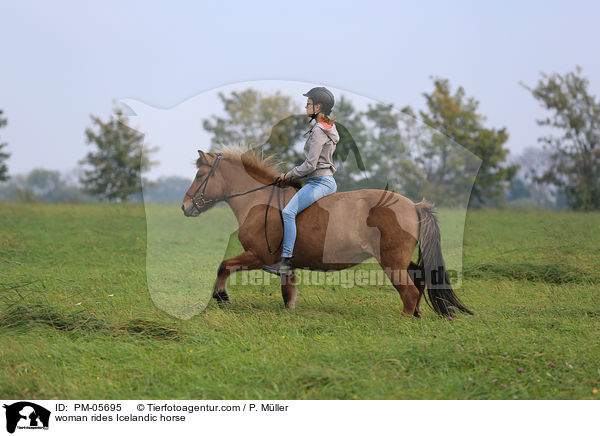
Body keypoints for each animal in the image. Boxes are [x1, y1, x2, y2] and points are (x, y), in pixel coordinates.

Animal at [180, 146, 472, 316]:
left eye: (200, 176)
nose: (185, 206)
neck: (259, 201)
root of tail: (412, 205)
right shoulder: (286, 265)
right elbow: (288, 293)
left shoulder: (258, 255)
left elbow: (224, 266)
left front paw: (221, 296)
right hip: (400, 259)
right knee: (419, 278)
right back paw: (418, 314)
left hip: (391, 261)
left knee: (409, 291)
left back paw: (405, 321)